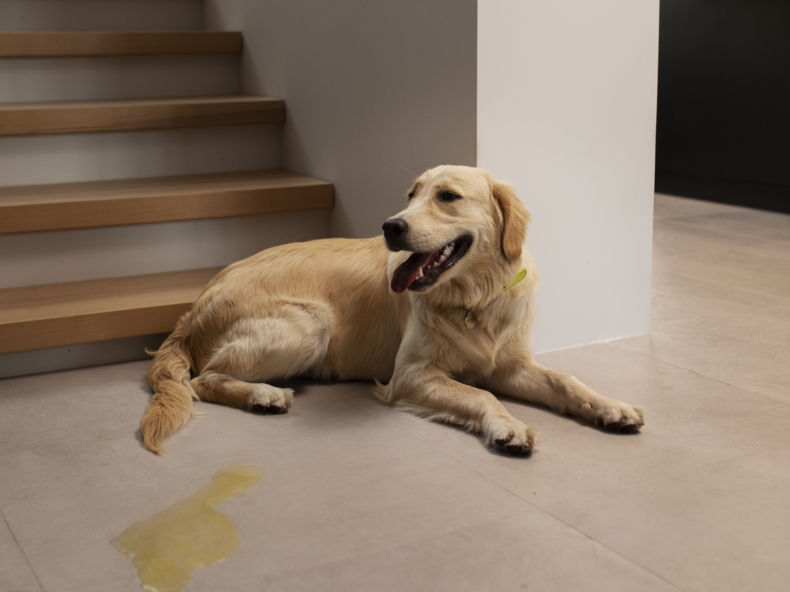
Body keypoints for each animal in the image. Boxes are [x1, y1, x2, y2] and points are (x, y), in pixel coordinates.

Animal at [139, 165, 648, 454]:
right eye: (411, 195)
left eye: (447, 196)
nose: (391, 226)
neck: (473, 298)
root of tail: (194, 307)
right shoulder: (411, 375)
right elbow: (482, 395)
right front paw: (507, 426)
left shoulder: (508, 364)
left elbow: (566, 380)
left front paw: (611, 407)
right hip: (310, 322)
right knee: (203, 379)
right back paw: (263, 395)